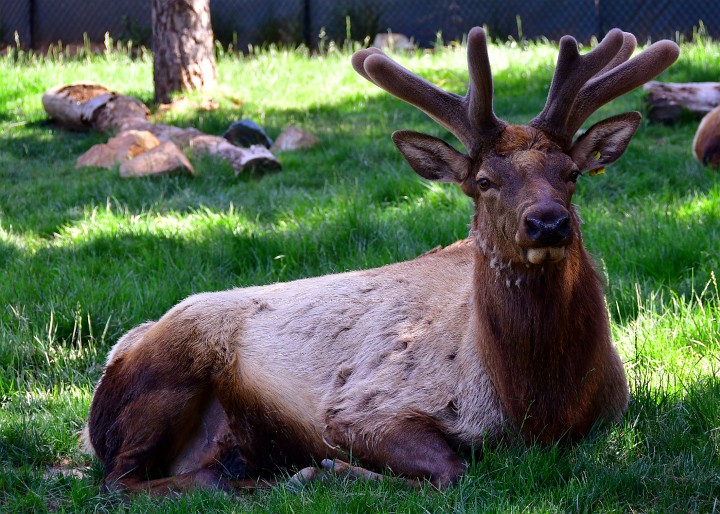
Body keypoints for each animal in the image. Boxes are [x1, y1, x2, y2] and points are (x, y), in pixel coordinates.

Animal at [86, 29, 680, 492]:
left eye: (571, 173)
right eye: (485, 181)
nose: (549, 222)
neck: (540, 405)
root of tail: (122, 347)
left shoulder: (614, 414)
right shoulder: (362, 406)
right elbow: (452, 470)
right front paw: (327, 470)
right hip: (166, 373)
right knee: (120, 480)